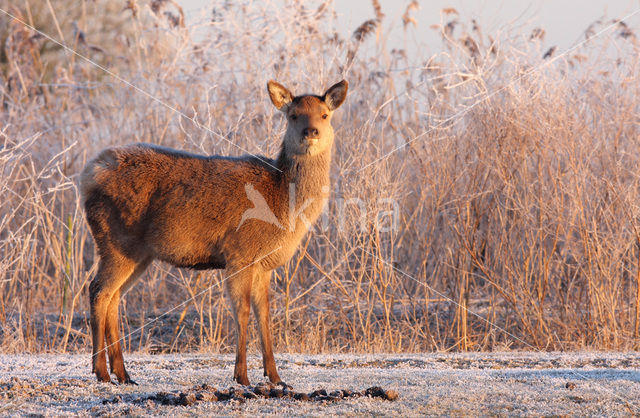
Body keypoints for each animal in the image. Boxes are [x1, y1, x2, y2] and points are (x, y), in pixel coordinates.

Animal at [80, 80, 350, 386]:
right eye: (293, 116)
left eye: (324, 115)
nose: (311, 132)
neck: (282, 203)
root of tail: (88, 175)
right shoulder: (239, 253)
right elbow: (242, 312)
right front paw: (242, 377)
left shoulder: (264, 264)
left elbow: (265, 314)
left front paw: (276, 377)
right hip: (116, 241)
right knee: (98, 291)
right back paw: (101, 371)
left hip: (138, 254)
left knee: (114, 297)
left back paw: (123, 374)